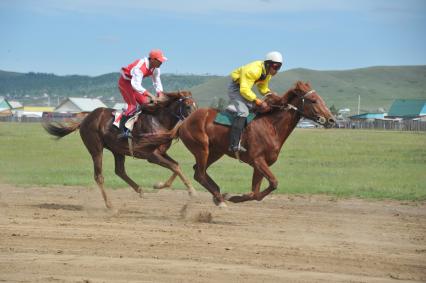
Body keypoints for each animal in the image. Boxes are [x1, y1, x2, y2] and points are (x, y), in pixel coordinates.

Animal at [42, 92, 196, 210]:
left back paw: (141, 191)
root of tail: (87, 117)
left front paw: (159, 185)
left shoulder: (161, 153)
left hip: (117, 150)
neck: (158, 121)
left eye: (196, 106)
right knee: (99, 176)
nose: (195, 119)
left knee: (120, 171)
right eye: (188, 105)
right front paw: (192, 191)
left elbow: (176, 166)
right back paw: (110, 205)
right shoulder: (151, 155)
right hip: (96, 149)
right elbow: (174, 166)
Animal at [141, 81, 334, 207]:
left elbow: (256, 193)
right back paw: (219, 198)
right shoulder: (258, 160)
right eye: (314, 100)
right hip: (202, 148)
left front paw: (235, 196)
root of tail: (185, 120)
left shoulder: (260, 165)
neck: (271, 125)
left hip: (215, 152)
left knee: (198, 171)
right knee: (200, 174)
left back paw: (218, 194)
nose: (331, 120)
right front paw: (233, 198)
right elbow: (273, 183)